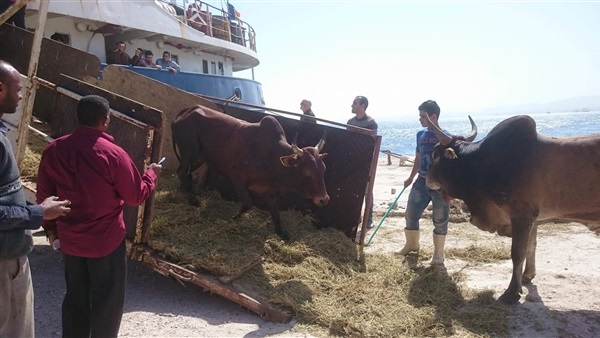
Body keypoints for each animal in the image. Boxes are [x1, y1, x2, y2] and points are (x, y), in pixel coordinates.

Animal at [171, 104, 330, 239]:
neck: (271, 158)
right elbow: (248, 203)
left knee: (183, 173)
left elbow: (276, 214)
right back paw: (192, 200)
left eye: (323, 169)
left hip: (199, 157)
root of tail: (186, 111)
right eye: (307, 172)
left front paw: (282, 233)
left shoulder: (269, 193)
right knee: (183, 173)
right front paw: (233, 218)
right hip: (190, 153)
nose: (324, 199)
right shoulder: (237, 177)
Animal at [426, 115, 600, 304]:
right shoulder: (533, 219)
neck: (480, 164)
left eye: (435, 153)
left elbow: (517, 253)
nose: (426, 179)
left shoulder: (521, 215)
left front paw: (511, 292)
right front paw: (527, 276)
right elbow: (531, 247)